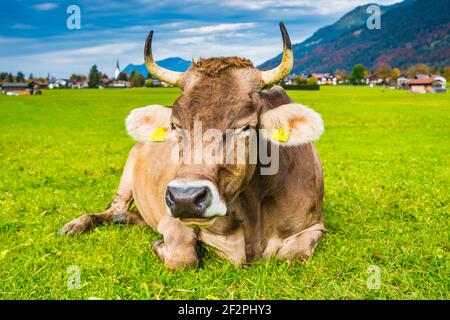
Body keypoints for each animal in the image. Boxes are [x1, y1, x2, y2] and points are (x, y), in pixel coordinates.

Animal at [60, 22, 326, 268]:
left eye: (246, 126)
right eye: (175, 125)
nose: (184, 198)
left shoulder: (315, 226)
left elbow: (292, 256)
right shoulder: (172, 220)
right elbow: (183, 256)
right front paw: (160, 245)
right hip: (127, 175)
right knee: (112, 209)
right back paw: (77, 224)